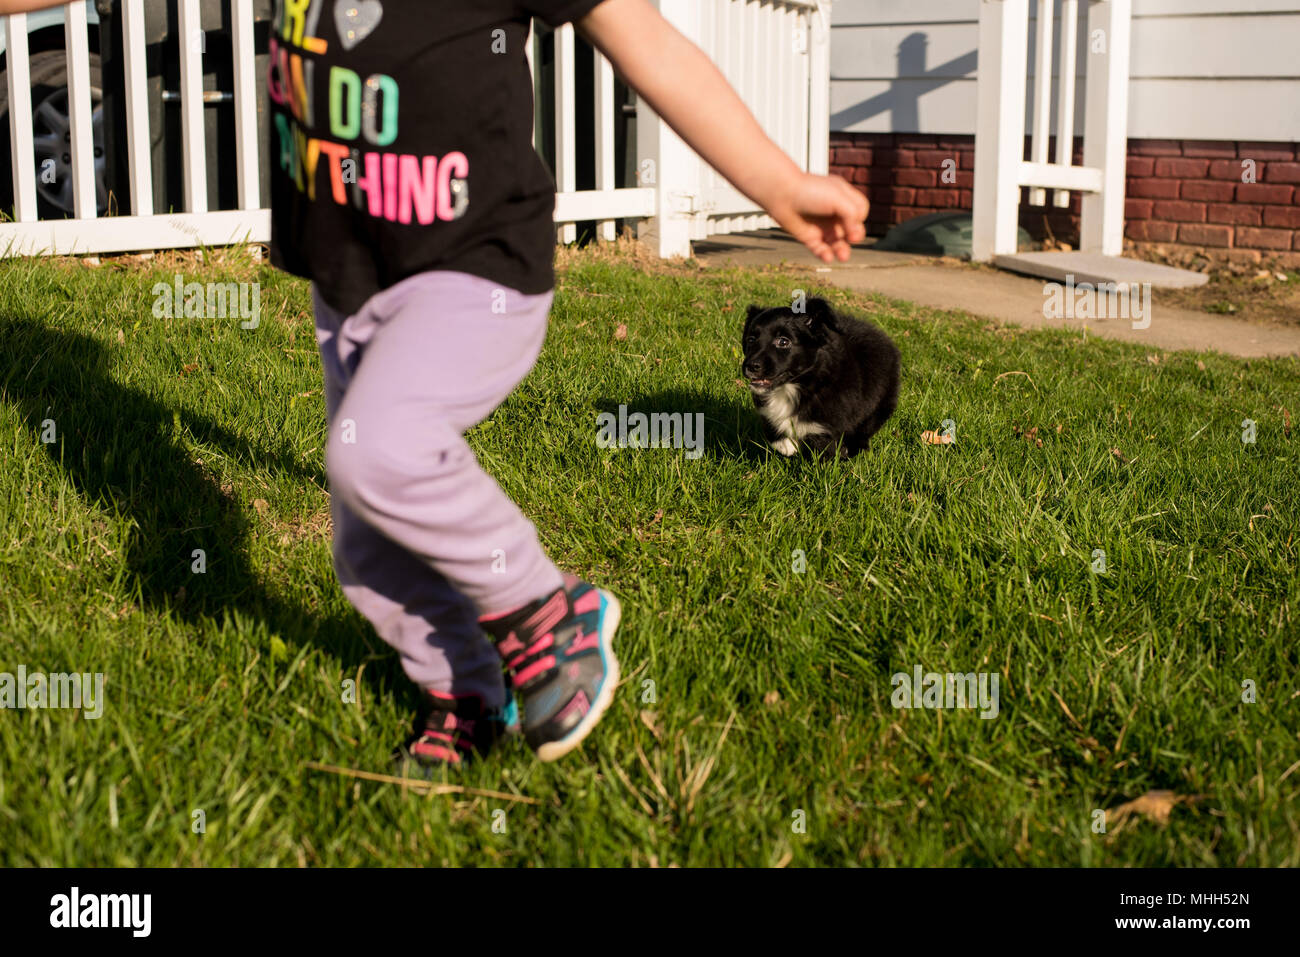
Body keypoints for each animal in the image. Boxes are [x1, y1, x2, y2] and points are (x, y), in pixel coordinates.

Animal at [748, 297, 899, 457]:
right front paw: (786, 445)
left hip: (880, 403)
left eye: (783, 341)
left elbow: (822, 453)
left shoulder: (825, 427)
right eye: (751, 339)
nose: (751, 366)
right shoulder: (766, 413)